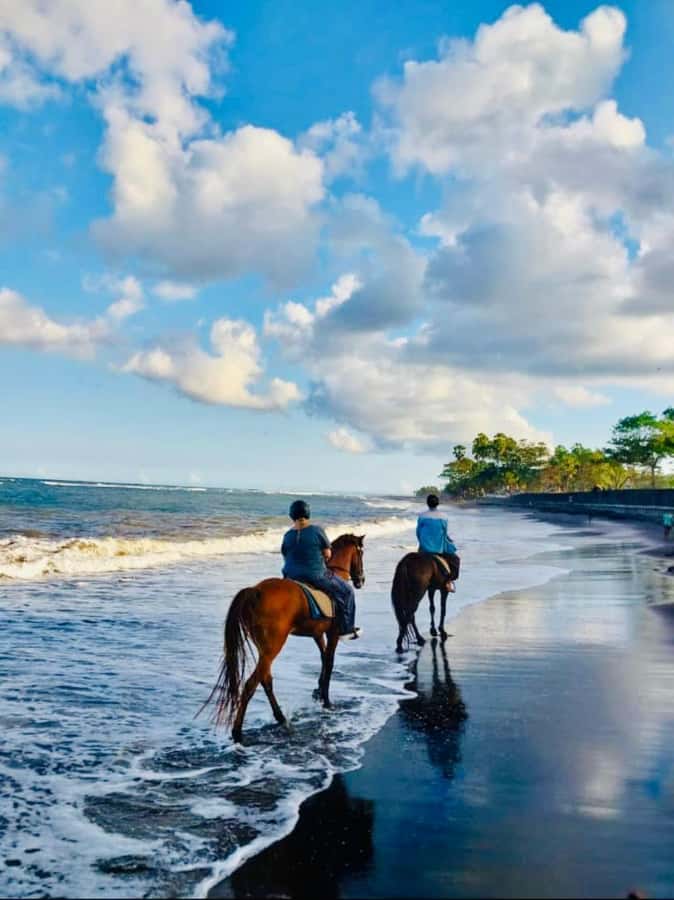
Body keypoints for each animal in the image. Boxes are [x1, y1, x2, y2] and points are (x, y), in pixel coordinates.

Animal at [201, 534, 365, 742]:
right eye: (361, 553)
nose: (361, 580)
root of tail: (255, 591)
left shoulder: (318, 634)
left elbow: (323, 658)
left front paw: (319, 692)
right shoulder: (333, 633)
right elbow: (329, 662)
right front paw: (327, 701)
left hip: (264, 648)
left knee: (265, 679)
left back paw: (280, 717)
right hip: (274, 646)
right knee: (251, 684)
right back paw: (238, 732)